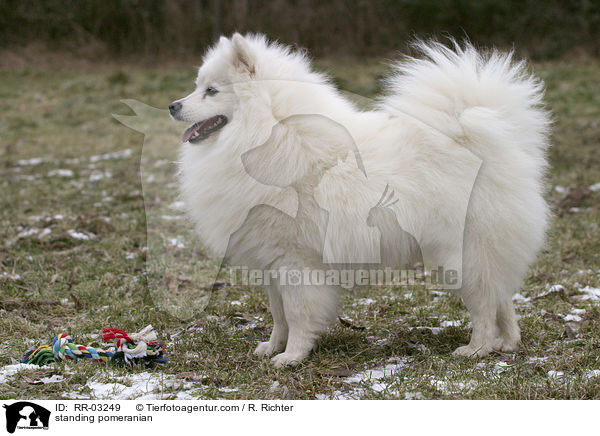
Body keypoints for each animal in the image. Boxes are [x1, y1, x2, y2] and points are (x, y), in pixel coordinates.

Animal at [169, 34, 548, 366]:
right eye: (197, 86)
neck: (274, 136)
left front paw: (292, 356)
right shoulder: (271, 262)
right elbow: (278, 314)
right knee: (501, 296)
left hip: (464, 253)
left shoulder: (298, 262)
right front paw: (272, 347)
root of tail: (476, 137)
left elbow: (297, 313)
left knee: (484, 304)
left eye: (211, 91)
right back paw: (507, 342)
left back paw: (477, 349)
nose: (173, 105)